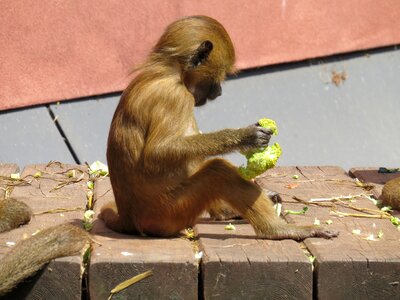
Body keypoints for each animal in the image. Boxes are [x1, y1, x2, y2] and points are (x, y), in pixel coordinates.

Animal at [101, 15, 338, 241]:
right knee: (218, 172)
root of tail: (129, 219)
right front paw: (245, 137)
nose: (219, 92)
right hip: (167, 214)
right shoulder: (175, 96)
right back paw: (277, 230)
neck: (167, 71)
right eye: (218, 78)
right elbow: (156, 153)